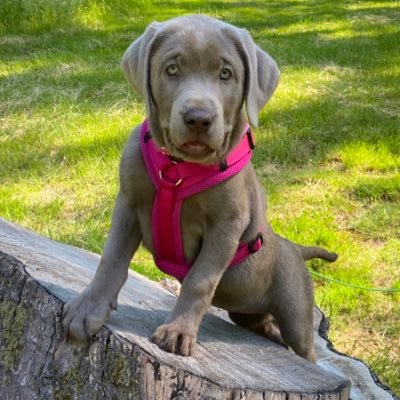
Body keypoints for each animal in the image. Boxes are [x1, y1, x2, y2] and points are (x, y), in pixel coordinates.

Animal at [62, 14, 338, 362]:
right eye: (172, 69)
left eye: (226, 73)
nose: (198, 119)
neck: (178, 168)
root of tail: (293, 247)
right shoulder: (128, 203)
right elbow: (111, 259)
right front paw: (88, 309)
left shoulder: (227, 227)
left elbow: (200, 281)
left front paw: (179, 331)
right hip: (247, 311)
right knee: (264, 326)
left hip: (296, 311)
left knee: (303, 346)